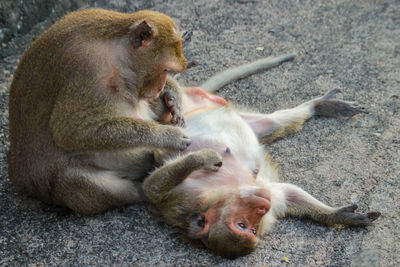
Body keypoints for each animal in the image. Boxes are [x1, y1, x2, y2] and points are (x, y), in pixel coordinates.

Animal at [142, 54, 380, 258]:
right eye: (245, 226)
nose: (263, 207)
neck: (229, 191)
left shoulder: (194, 195)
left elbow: (153, 188)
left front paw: (339, 215)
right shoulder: (188, 201)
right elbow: (152, 188)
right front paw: (202, 158)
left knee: (274, 123)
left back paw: (319, 105)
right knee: (274, 125)